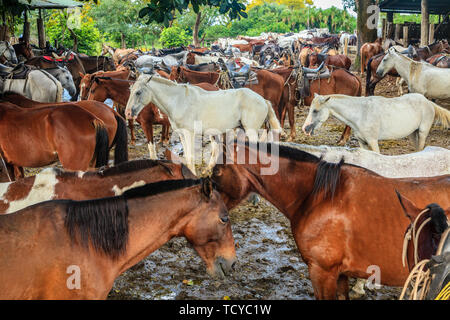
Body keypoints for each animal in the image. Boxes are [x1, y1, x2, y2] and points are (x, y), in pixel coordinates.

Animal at [125, 74, 282, 175]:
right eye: (130, 91)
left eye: (138, 92)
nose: (127, 113)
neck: (178, 101)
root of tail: (263, 100)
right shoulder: (181, 134)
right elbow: (187, 157)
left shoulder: (189, 133)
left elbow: (190, 157)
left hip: (251, 131)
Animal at [302, 93, 450, 153]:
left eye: (315, 111)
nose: (304, 129)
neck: (361, 113)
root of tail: (427, 101)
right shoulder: (362, 143)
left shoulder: (373, 141)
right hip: (413, 134)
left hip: (422, 132)